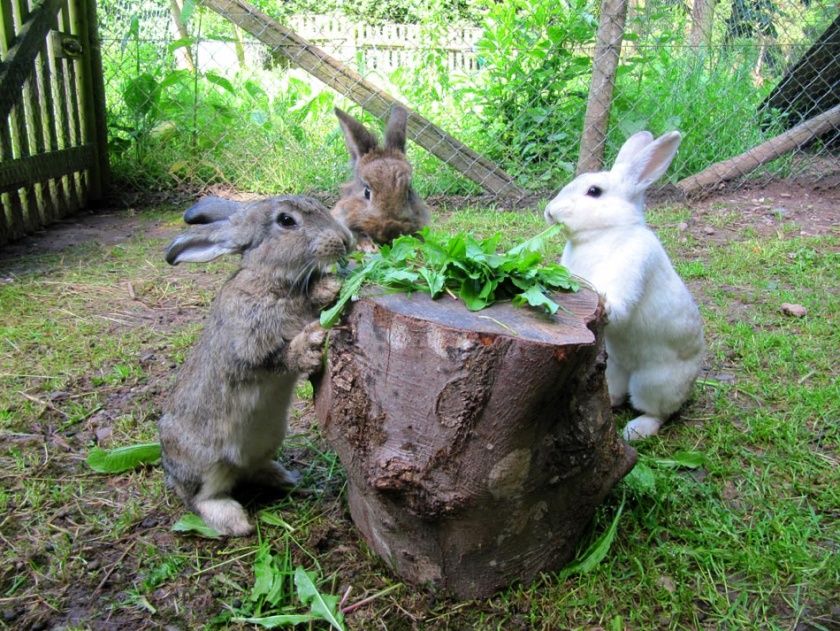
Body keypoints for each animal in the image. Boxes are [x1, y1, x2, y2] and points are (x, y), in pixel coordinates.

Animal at [158, 195, 352, 536]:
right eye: (286, 221)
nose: (344, 240)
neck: (270, 279)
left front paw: (326, 289)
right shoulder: (250, 345)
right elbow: (278, 357)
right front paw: (312, 341)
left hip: (268, 440)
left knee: (255, 470)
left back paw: (291, 480)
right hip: (203, 462)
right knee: (200, 498)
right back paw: (235, 522)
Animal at [544, 131, 704, 442]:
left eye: (594, 191)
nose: (550, 212)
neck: (605, 232)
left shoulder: (632, 264)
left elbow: (618, 303)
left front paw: (606, 304)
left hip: (654, 383)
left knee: (657, 412)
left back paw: (636, 431)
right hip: (613, 369)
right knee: (617, 393)